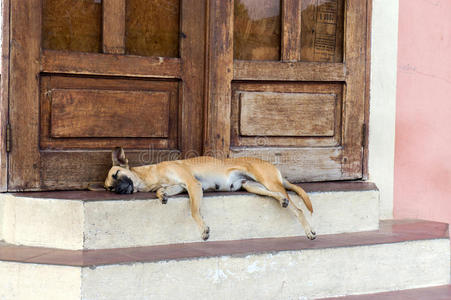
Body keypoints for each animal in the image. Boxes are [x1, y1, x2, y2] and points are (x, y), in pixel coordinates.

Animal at [105, 148, 318, 241]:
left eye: (116, 174)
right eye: (108, 188)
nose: (117, 190)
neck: (150, 175)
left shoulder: (193, 185)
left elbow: (193, 212)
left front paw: (203, 229)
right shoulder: (181, 187)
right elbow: (163, 190)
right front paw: (161, 195)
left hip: (268, 181)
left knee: (298, 209)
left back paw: (308, 230)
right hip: (253, 186)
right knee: (279, 196)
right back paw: (282, 200)